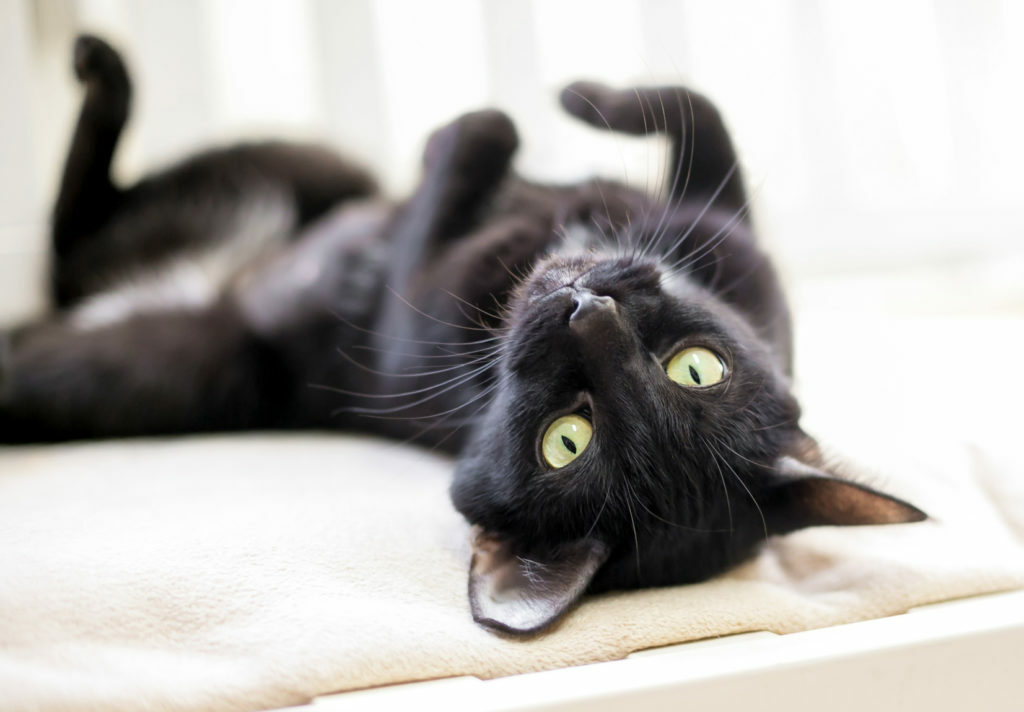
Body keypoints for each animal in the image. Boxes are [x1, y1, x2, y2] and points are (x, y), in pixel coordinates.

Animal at [0, 34, 925, 635]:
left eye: (568, 440)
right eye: (699, 368)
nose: (589, 308)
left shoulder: (407, 329)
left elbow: (486, 131)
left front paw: (487, 129)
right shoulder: (730, 231)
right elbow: (692, 103)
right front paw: (576, 96)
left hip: (149, 363)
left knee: (68, 251)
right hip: (305, 167)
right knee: (84, 229)